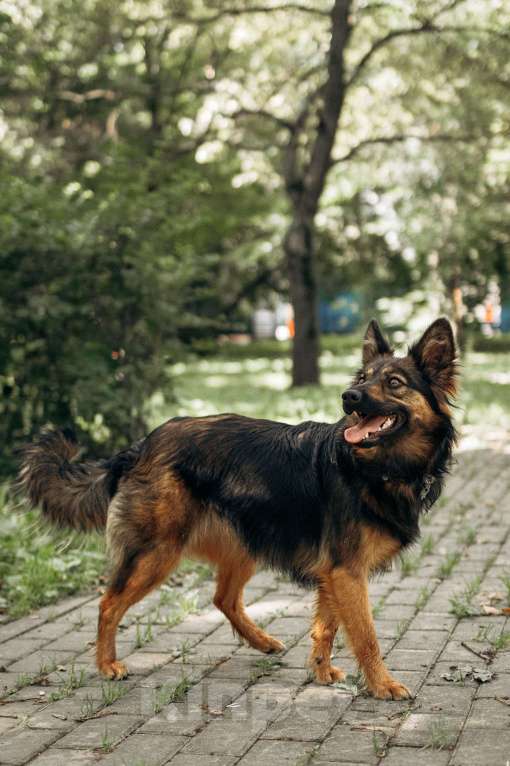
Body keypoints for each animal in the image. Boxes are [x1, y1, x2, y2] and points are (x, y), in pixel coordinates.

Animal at [19, 318, 458, 704]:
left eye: (394, 383)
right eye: (362, 378)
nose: (348, 396)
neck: (374, 468)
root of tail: (141, 445)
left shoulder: (334, 571)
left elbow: (325, 627)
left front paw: (321, 671)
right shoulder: (347, 572)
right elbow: (365, 636)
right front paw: (383, 685)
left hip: (243, 543)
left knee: (223, 599)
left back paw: (262, 641)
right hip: (157, 552)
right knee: (109, 604)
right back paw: (107, 664)